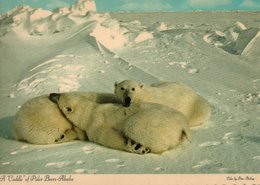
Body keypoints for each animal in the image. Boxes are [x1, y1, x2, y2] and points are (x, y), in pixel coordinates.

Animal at [49, 92, 191, 154]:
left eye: (59, 97)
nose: (51, 94)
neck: (90, 112)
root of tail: (182, 123)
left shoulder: (95, 125)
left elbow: (109, 137)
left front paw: (131, 146)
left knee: (132, 125)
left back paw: (140, 147)